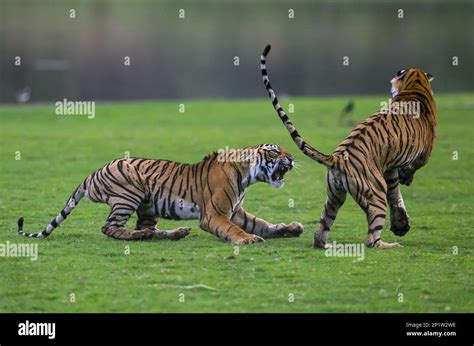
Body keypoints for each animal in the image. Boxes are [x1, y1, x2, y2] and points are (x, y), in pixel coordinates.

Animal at [17, 145, 304, 245]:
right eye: (274, 151)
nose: (291, 158)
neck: (247, 174)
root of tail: (91, 174)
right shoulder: (215, 215)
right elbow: (236, 230)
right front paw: (248, 240)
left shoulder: (236, 211)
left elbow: (262, 223)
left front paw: (290, 228)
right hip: (128, 194)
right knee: (109, 227)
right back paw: (142, 236)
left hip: (148, 206)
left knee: (146, 228)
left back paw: (173, 233)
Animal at [262, 44, 438, 249]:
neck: (415, 85)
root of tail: (337, 158)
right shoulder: (424, 152)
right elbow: (413, 169)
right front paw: (406, 179)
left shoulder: (389, 166)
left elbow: (395, 195)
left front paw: (401, 223)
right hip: (376, 195)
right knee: (371, 239)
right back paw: (389, 245)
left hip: (334, 196)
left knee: (321, 231)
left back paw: (328, 245)